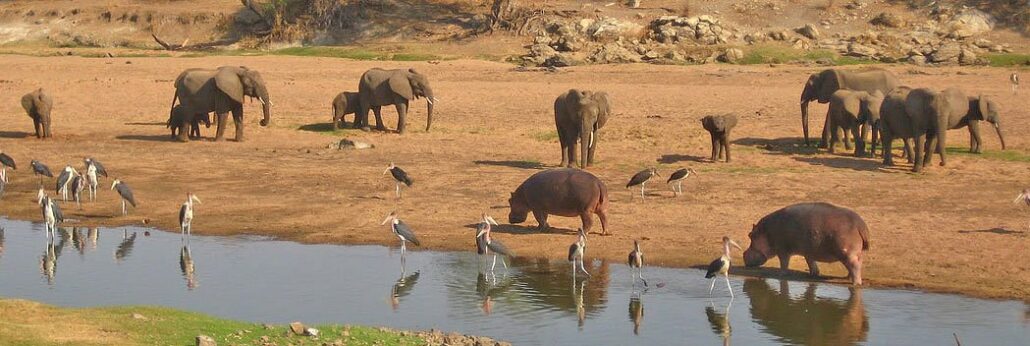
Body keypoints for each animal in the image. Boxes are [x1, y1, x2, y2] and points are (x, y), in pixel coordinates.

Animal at [741, 201, 869, 284]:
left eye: (750, 235)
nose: (743, 254)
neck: (766, 232)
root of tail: (861, 224)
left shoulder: (782, 250)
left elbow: (784, 264)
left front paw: (780, 275)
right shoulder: (809, 251)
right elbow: (811, 263)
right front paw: (813, 274)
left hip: (848, 253)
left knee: (855, 266)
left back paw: (855, 283)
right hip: (854, 254)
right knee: (856, 265)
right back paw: (847, 278)